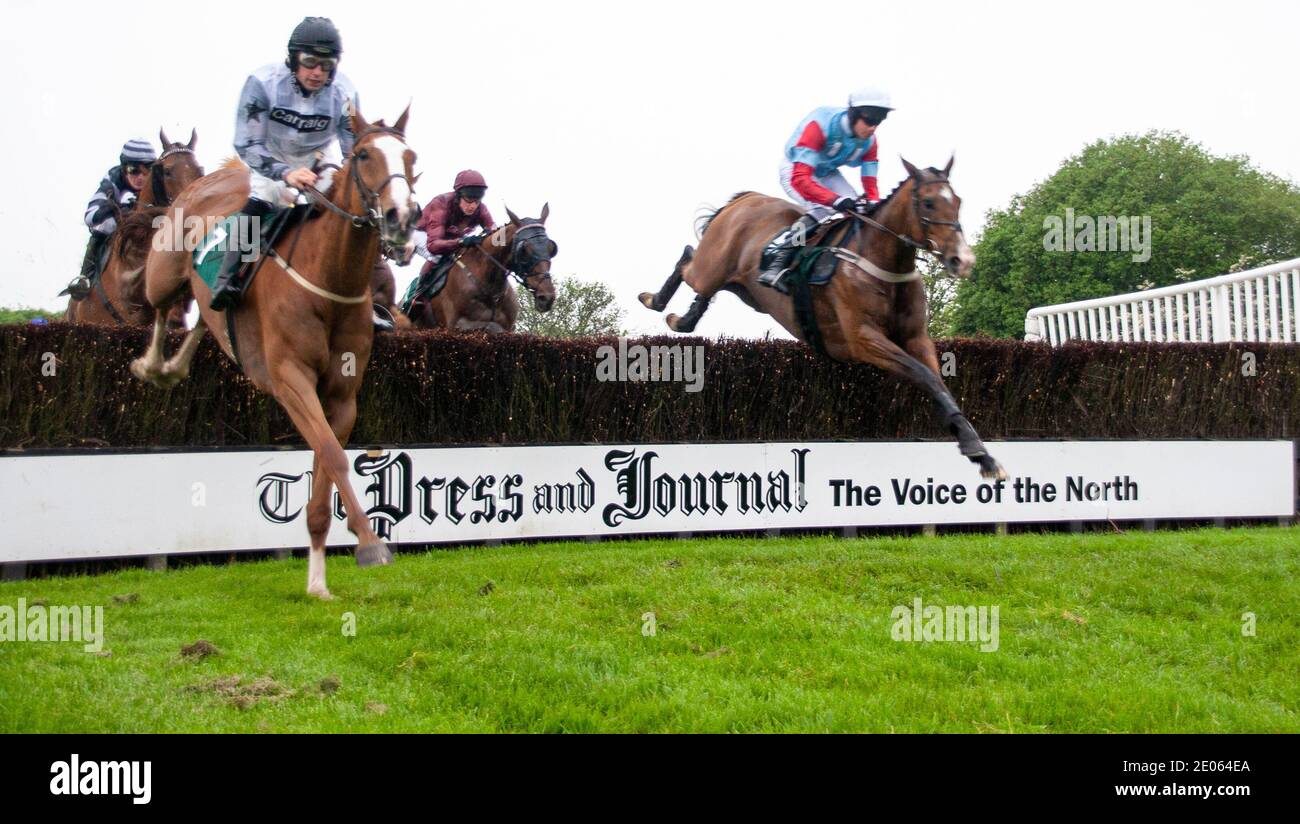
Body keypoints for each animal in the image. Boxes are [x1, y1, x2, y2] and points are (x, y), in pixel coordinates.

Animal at [130, 109, 421, 597]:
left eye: (411, 157)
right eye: (364, 155)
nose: (402, 216)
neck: (328, 277)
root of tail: (216, 176)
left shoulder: (342, 394)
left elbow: (326, 462)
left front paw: (319, 582)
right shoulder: (290, 379)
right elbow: (333, 455)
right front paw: (369, 542)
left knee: (204, 320)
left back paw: (176, 363)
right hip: (163, 272)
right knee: (162, 306)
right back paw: (155, 366)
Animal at [639, 157, 1003, 478]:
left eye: (957, 201)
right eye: (928, 203)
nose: (962, 260)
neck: (881, 261)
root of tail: (746, 198)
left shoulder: (916, 337)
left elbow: (939, 383)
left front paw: (981, 454)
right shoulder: (861, 339)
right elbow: (923, 375)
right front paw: (975, 449)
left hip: (744, 289)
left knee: (704, 288)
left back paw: (683, 319)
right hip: (710, 267)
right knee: (688, 258)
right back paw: (654, 300)